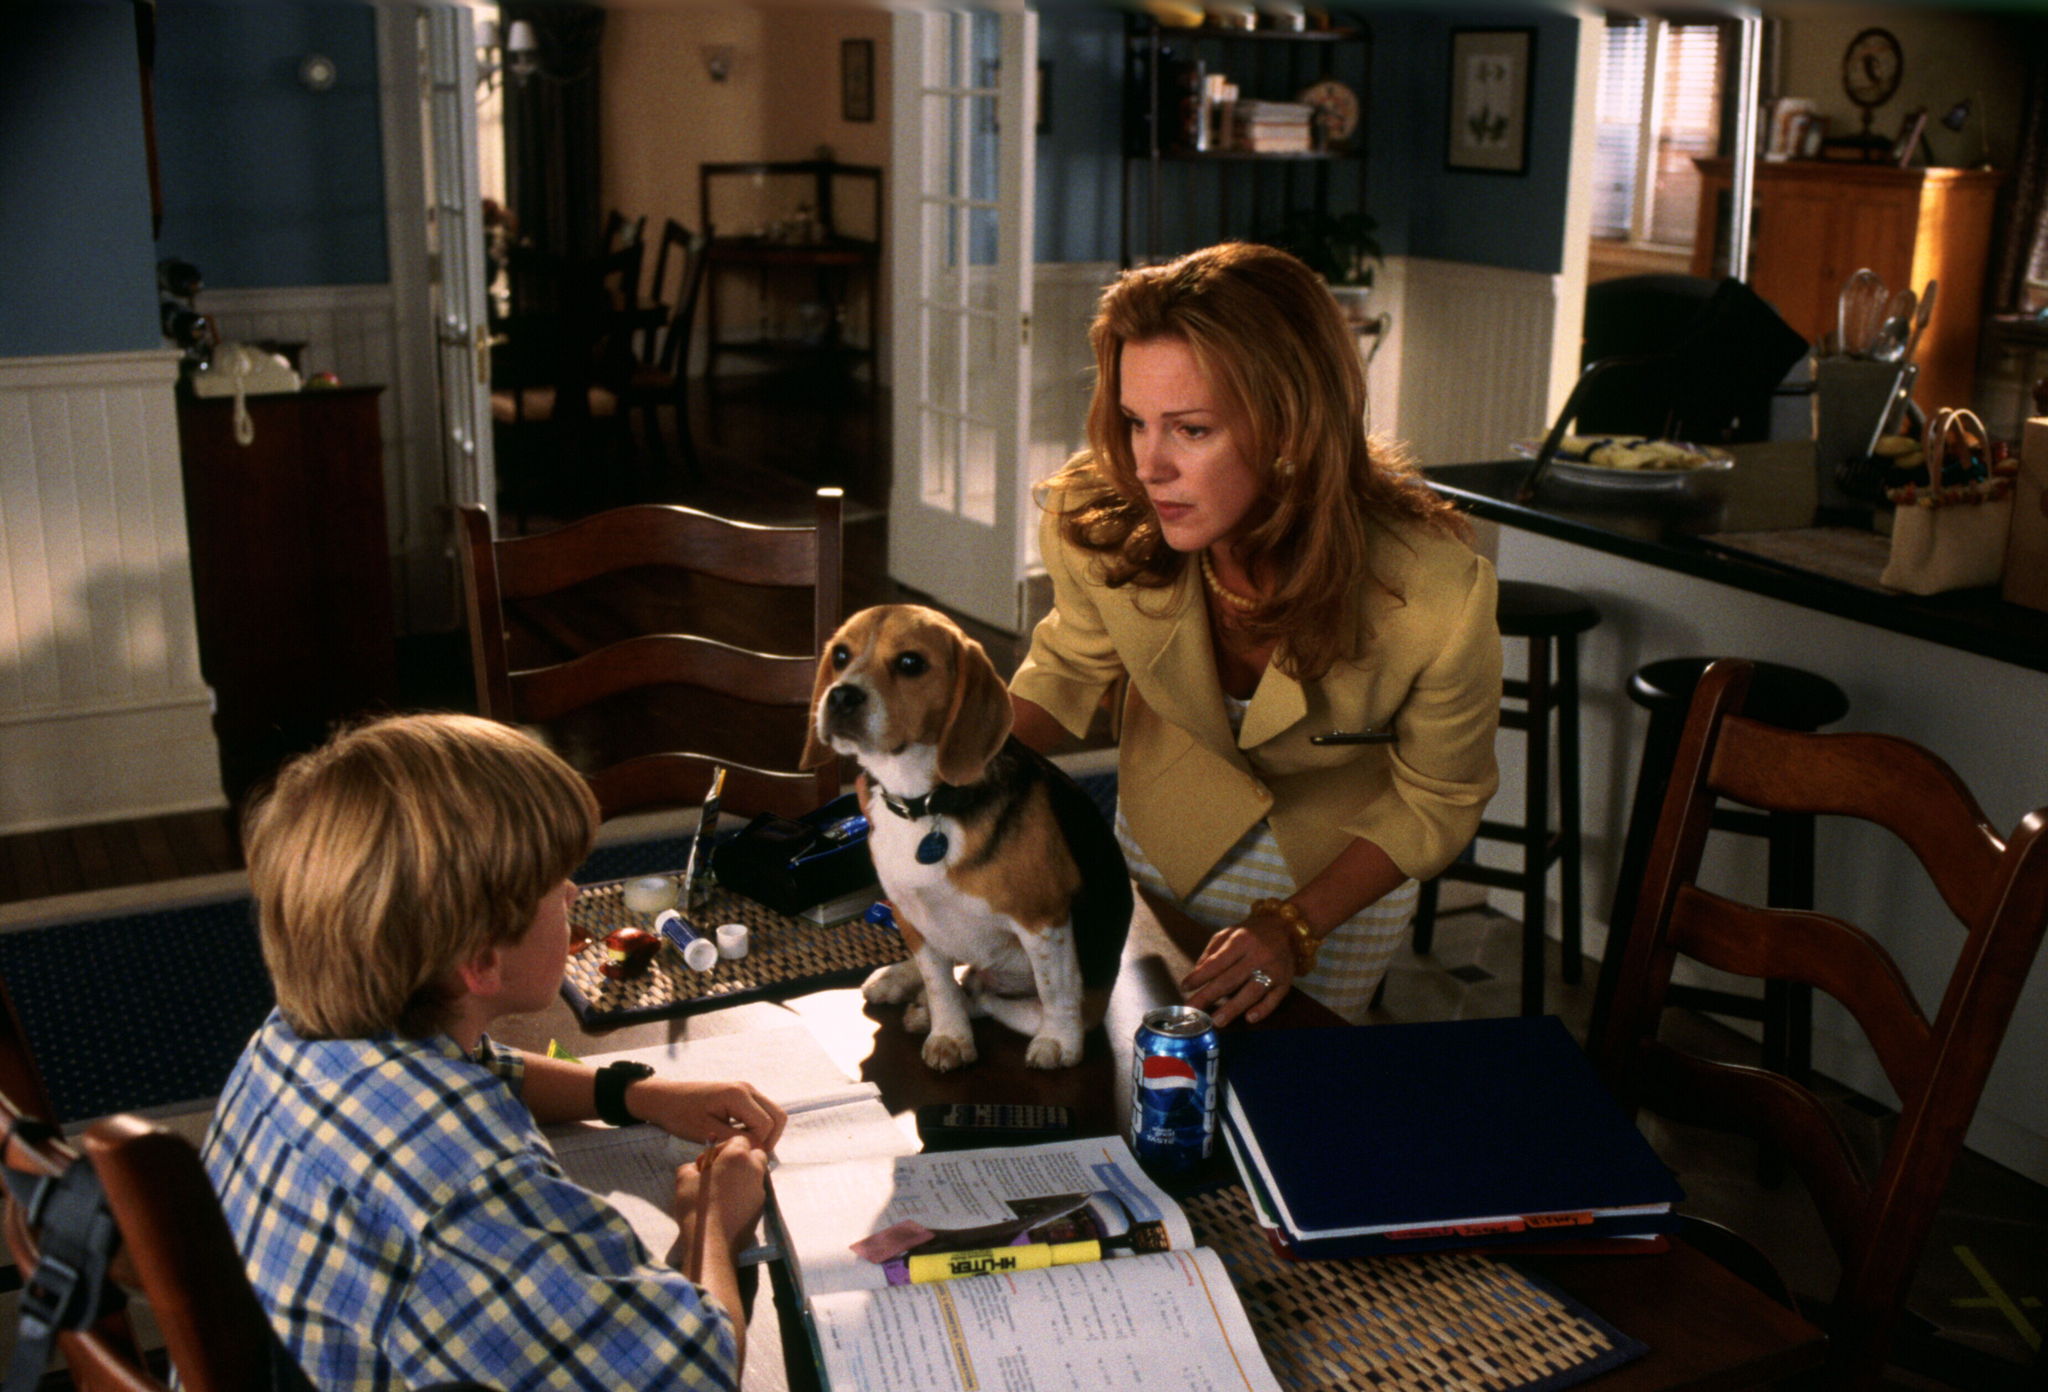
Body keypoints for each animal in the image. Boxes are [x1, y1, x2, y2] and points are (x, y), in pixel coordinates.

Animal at [798, 601, 1130, 1072]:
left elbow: (1056, 989)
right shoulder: (912, 915)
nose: (841, 695)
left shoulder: (1044, 919)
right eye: (841, 656)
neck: (923, 805)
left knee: (989, 997)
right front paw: (949, 1035)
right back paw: (903, 982)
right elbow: (940, 984)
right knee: (961, 983)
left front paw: (1058, 1041)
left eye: (910, 663)